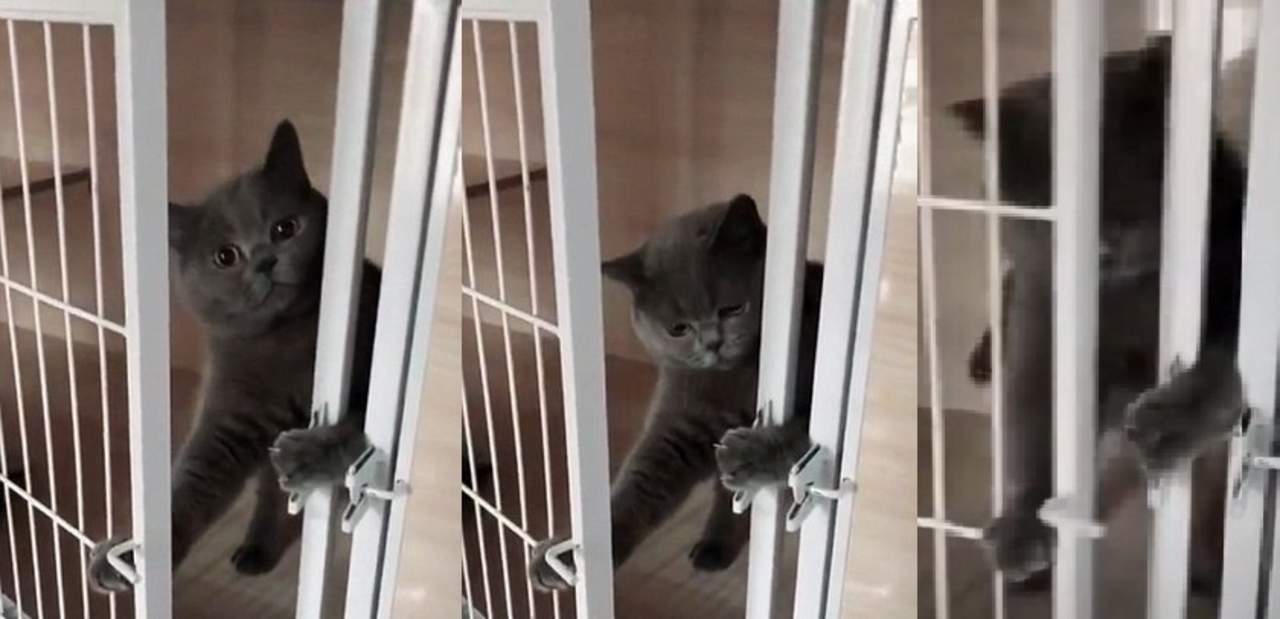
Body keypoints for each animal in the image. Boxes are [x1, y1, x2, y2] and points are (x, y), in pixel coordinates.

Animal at [87, 120, 377, 592]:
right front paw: (124, 557)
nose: (264, 261)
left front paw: (305, 452)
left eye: (285, 228)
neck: (287, 334)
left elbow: (358, 425)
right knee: (268, 492)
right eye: (225, 256)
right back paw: (256, 549)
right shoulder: (233, 404)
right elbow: (195, 478)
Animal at [527, 195, 823, 591]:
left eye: (733, 309)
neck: (734, 378)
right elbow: (637, 485)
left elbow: (800, 436)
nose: (713, 343)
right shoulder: (678, 421)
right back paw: (714, 547)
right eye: (678, 329)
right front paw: (561, 556)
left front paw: (747, 452)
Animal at [948, 35, 1246, 589]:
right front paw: (1021, 527)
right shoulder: (1040, 324)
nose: (1104, 241)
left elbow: (1228, 362)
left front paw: (1168, 422)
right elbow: (1033, 427)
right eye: (1047, 194)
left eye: (1130, 159)